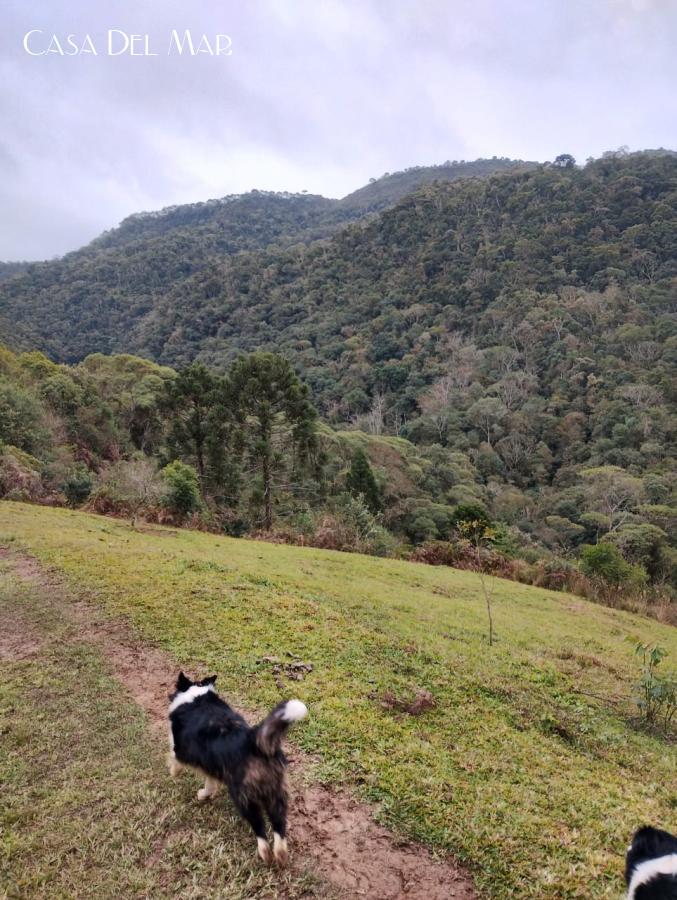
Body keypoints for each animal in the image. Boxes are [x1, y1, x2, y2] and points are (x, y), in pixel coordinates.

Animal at [168, 672, 308, 868]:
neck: (197, 696)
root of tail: (254, 741)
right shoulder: (212, 766)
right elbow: (210, 784)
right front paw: (204, 795)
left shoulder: (181, 749)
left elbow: (174, 760)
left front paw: (174, 773)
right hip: (276, 793)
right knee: (279, 824)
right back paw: (280, 854)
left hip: (244, 797)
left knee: (259, 826)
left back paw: (265, 854)